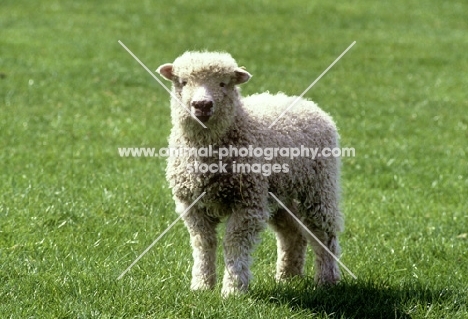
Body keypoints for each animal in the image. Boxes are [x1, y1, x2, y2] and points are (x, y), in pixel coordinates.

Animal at [157, 52, 344, 298]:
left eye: (223, 83)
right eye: (183, 82)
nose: (202, 105)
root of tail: (308, 104)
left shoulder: (248, 203)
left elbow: (234, 243)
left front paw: (233, 289)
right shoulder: (192, 205)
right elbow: (203, 243)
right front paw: (202, 286)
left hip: (319, 187)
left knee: (323, 233)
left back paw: (327, 279)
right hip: (279, 193)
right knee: (291, 233)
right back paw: (288, 277)